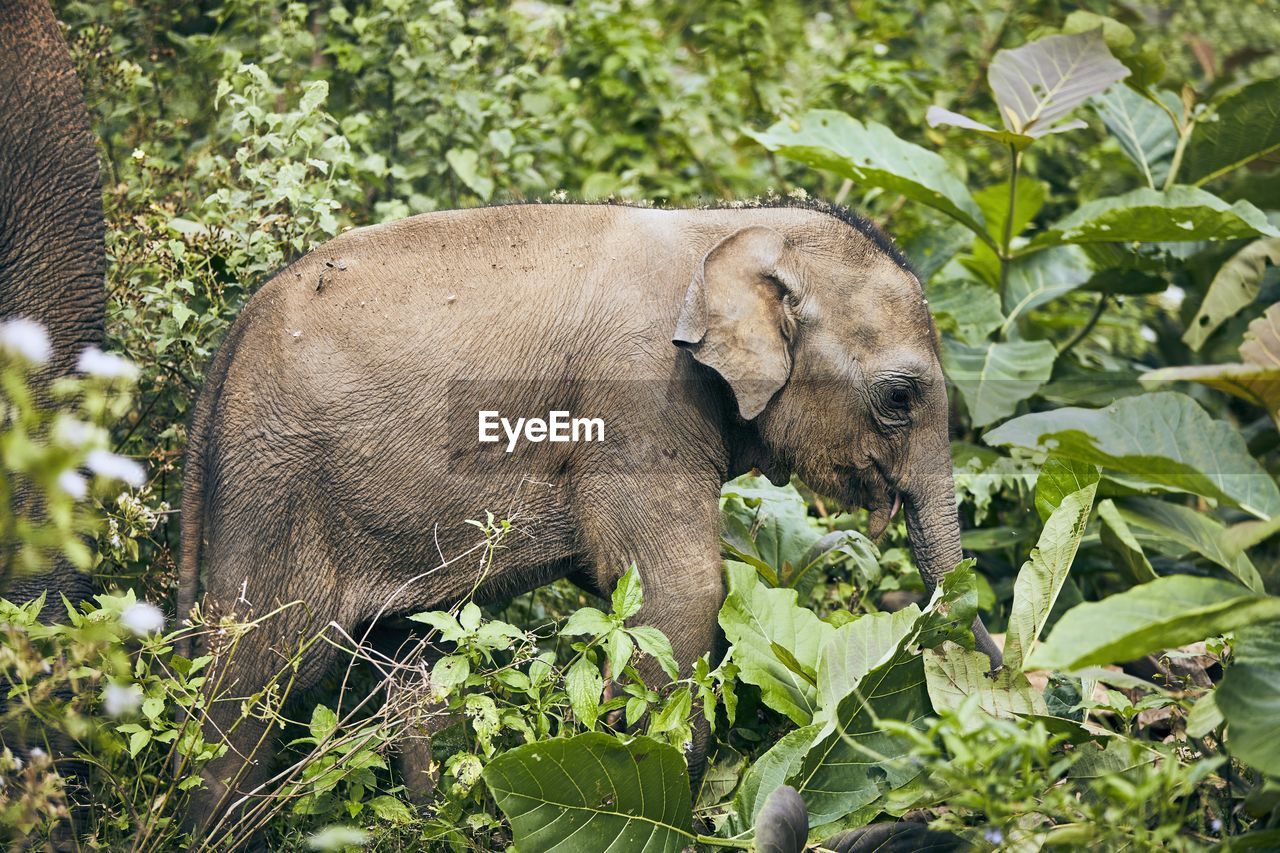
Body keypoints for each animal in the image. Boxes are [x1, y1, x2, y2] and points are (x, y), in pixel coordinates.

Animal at [180, 197, 998, 824]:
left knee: (406, 667)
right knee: (255, 675)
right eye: (899, 397)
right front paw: (647, 796)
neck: (728, 226)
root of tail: (229, 342)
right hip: (274, 480)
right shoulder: (637, 398)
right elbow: (682, 593)